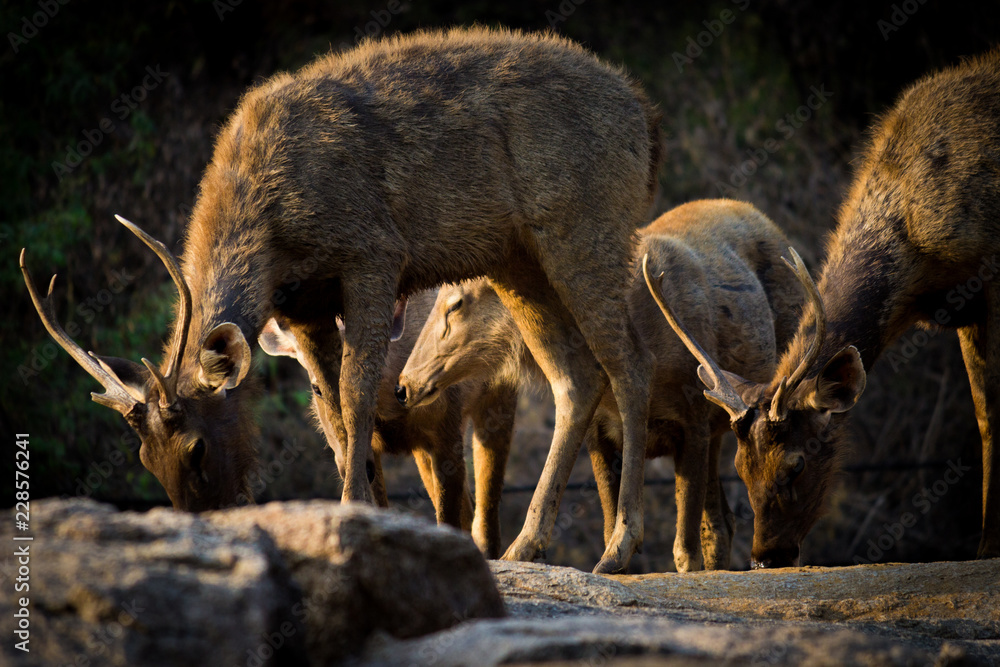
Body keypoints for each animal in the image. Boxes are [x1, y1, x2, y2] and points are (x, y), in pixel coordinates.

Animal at [258, 290, 518, 557]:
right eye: (316, 388)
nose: (344, 463)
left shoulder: (448, 429)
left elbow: (449, 516)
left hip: (500, 393)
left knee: (485, 510)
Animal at [397, 199, 804, 571]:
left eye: (456, 304)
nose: (404, 384)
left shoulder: (694, 420)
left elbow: (685, 548)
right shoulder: (602, 432)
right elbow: (614, 523)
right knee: (723, 522)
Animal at [651, 50, 1000, 568]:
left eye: (796, 464)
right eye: (740, 466)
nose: (766, 556)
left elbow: (992, 410)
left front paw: (988, 548)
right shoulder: (964, 308)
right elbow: (983, 415)